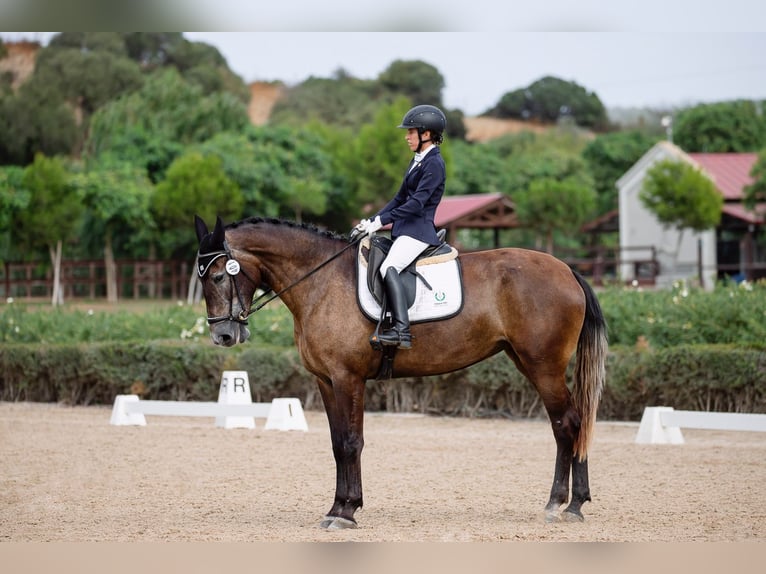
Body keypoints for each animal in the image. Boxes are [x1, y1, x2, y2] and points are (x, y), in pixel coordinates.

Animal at [195, 215, 608, 532]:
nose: (223, 335)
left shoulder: (348, 378)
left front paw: (347, 512)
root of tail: (566, 269)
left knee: (567, 424)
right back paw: (574, 504)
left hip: (544, 366)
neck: (320, 281)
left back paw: (560, 504)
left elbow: (351, 442)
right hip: (525, 360)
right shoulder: (326, 381)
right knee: (573, 423)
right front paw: (336, 508)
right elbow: (336, 443)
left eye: (217, 277)